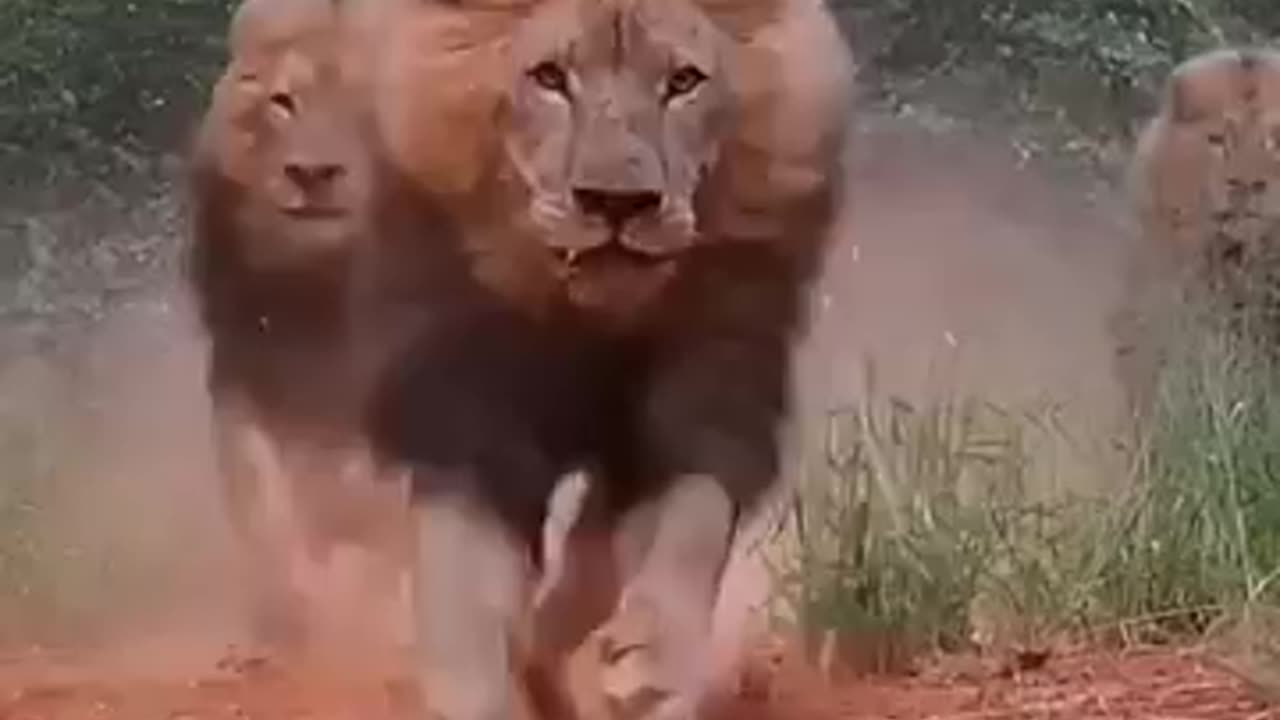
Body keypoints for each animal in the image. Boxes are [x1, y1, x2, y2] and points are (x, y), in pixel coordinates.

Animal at [353, 0, 856, 716]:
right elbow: (461, 571)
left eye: (682, 82)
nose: (617, 203)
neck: (588, 318)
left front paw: (650, 666)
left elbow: (689, 521)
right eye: (549, 78)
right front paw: (481, 683)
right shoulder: (465, 397)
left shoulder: (714, 376)